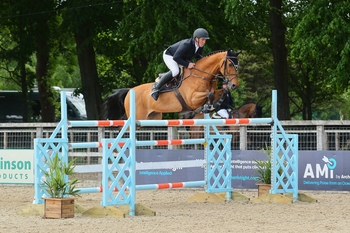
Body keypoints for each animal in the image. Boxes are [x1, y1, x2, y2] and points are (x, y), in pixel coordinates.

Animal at [102, 49, 242, 121]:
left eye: (237, 65)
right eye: (230, 64)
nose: (234, 85)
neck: (201, 75)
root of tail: (130, 91)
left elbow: (218, 93)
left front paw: (213, 104)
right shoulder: (192, 99)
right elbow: (210, 95)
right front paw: (205, 107)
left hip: (153, 117)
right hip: (137, 116)